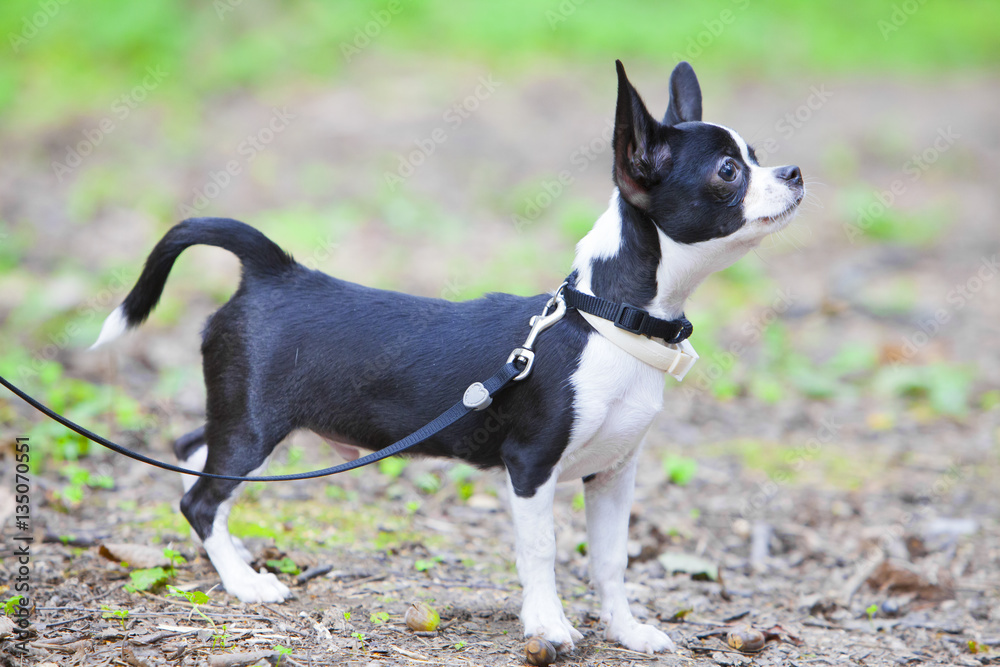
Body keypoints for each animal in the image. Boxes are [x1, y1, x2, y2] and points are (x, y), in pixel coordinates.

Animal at [90, 60, 800, 656]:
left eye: (760, 158)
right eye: (729, 171)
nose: (794, 173)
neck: (606, 323)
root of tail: (273, 270)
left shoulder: (613, 475)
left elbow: (610, 561)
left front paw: (627, 631)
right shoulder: (531, 468)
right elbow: (541, 553)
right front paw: (548, 628)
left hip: (240, 419)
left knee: (190, 452)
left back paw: (227, 557)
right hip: (255, 427)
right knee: (201, 499)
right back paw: (244, 581)